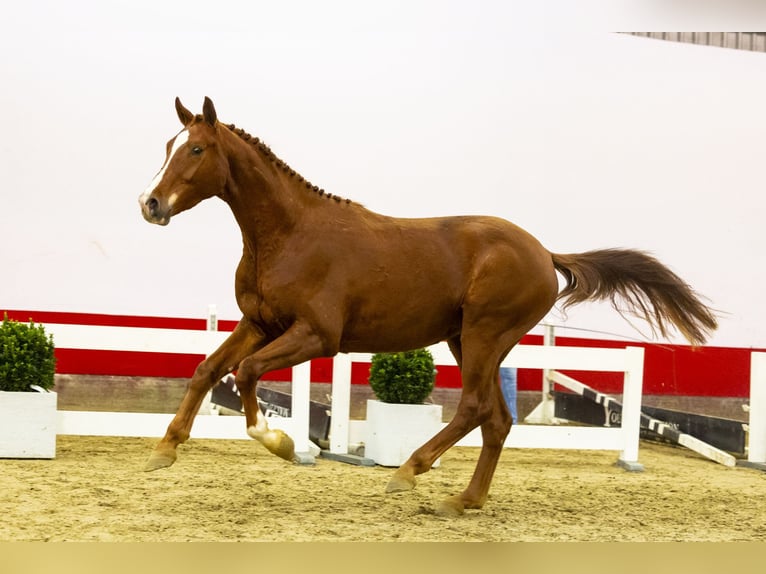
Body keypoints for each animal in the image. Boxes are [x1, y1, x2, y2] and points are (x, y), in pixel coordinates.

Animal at [138, 98, 720, 516]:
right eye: (168, 143)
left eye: (196, 150)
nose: (150, 204)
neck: (289, 235)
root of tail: (545, 253)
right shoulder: (260, 322)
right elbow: (207, 369)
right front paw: (164, 451)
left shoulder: (317, 336)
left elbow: (247, 372)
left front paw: (278, 441)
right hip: (466, 340)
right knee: (497, 419)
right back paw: (463, 501)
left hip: (484, 335)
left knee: (476, 409)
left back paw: (409, 471)